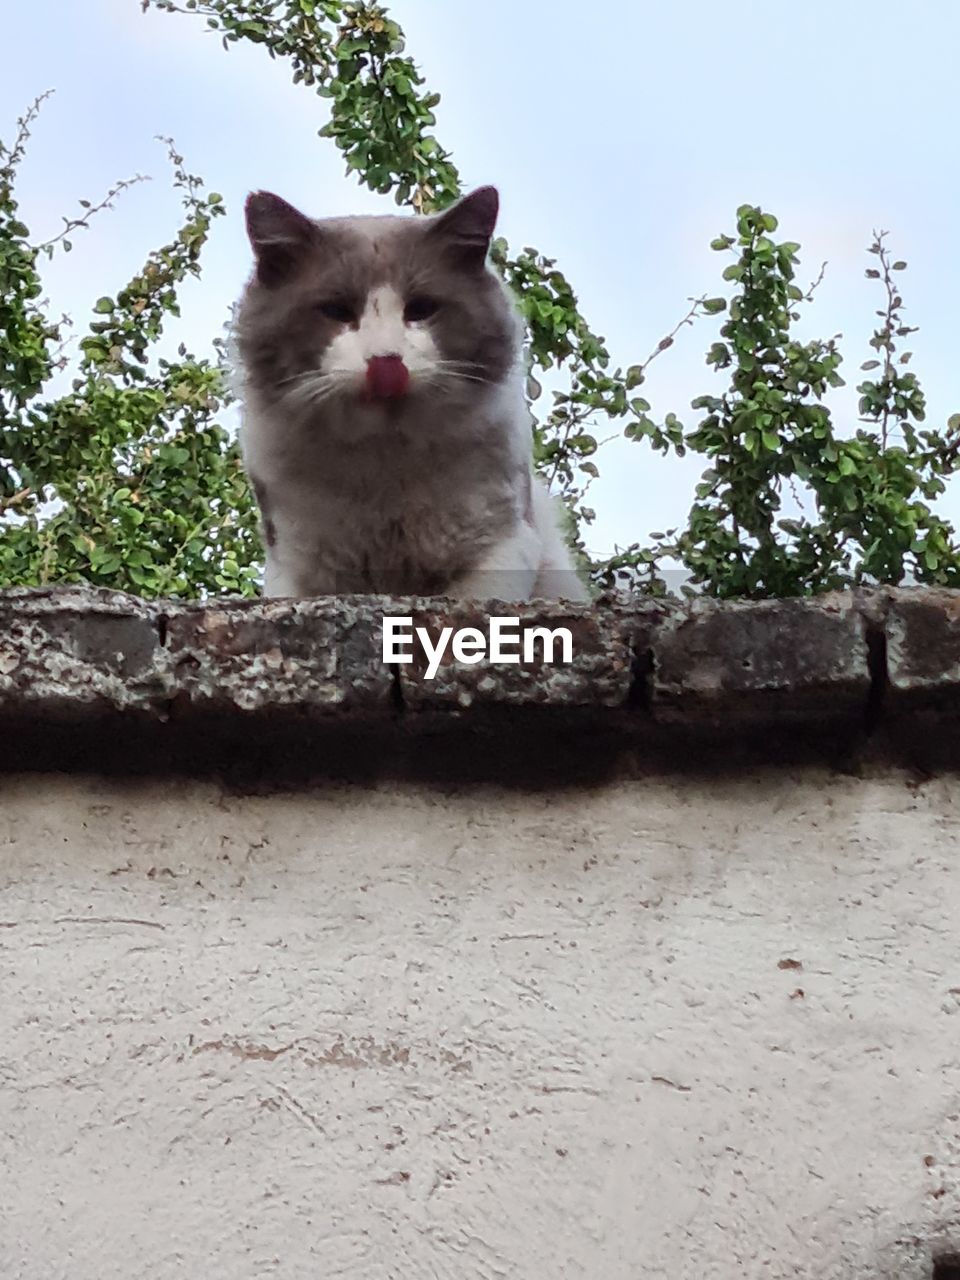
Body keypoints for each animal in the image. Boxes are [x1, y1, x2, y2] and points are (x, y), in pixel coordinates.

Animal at [236, 186, 591, 604]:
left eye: (421, 309)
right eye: (337, 311)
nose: (386, 362)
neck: (385, 460)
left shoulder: (501, 546)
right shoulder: (295, 566)